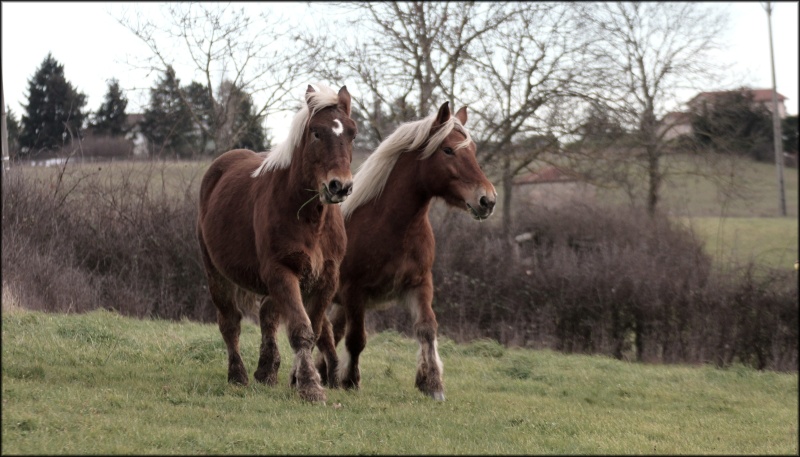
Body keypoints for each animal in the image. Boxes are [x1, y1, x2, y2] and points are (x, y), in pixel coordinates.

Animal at [195, 83, 354, 400]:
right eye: (316, 132)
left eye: (352, 133)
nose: (340, 186)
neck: (309, 218)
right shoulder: (282, 271)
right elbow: (301, 329)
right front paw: (310, 386)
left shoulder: (326, 278)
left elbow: (314, 329)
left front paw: (297, 379)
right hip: (216, 273)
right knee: (230, 322)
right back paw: (239, 375)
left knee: (268, 315)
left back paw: (266, 370)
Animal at [316, 101, 496, 400]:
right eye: (448, 150)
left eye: (472, 150)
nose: (487, 200)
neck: (393, 227)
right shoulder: (355, 292)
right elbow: (357, 339)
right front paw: (351, 380)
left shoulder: (419, 285)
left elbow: (427, 329)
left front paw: (432, 383)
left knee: (332, 330)